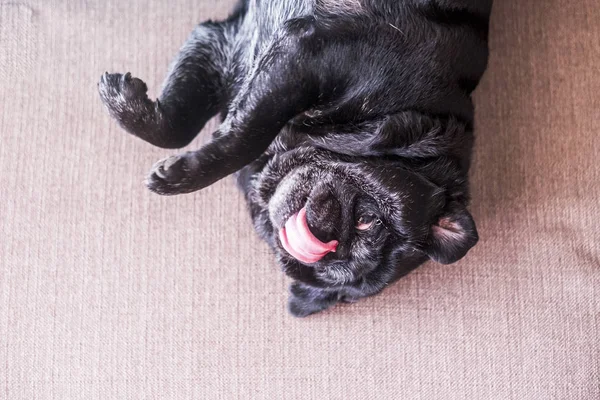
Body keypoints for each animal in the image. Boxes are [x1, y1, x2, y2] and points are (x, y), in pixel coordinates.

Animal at [98, 0, 492, 318]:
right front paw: (130, 110)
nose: (326, 237)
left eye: (331, 267)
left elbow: (215, 129)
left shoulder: (229, 46)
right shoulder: (299, 62)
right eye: (368, 220)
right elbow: (224, 132)